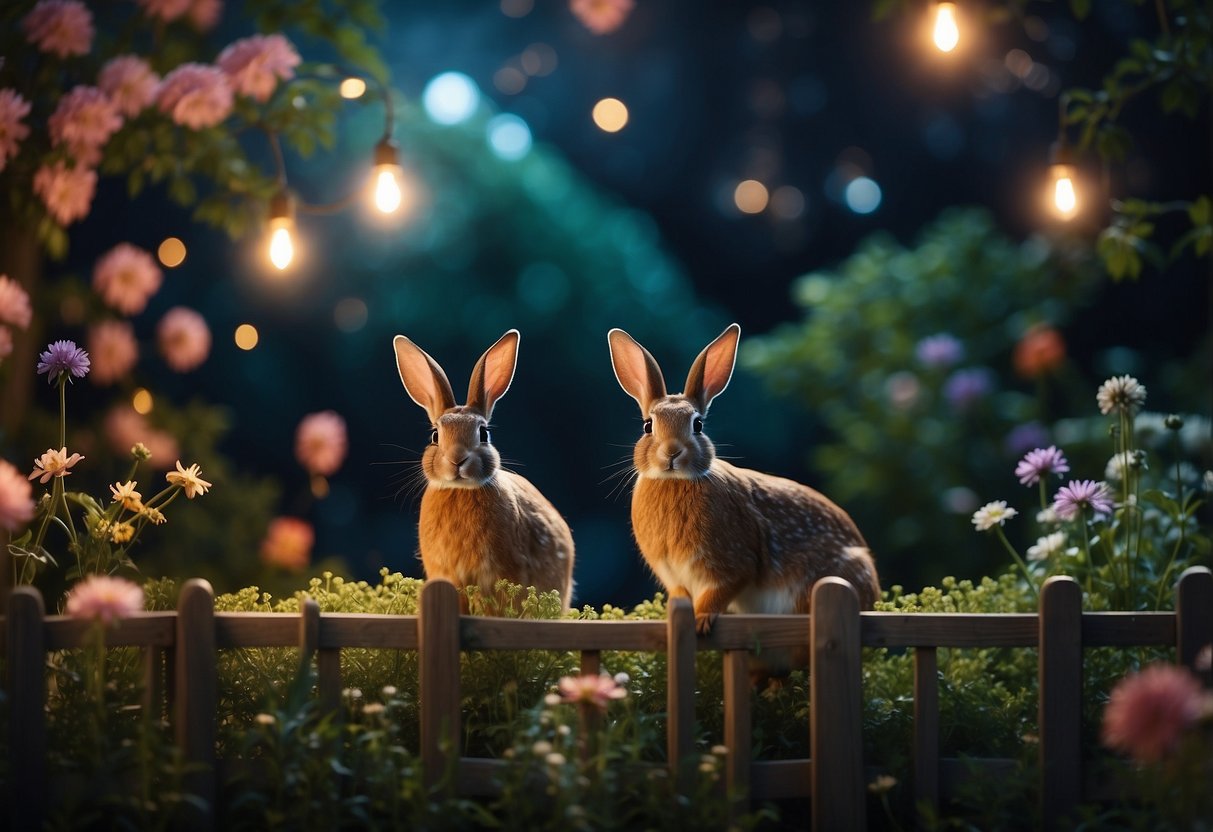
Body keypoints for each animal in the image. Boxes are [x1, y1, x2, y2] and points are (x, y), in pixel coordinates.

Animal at [606, 322, 883, 640]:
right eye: (648, 426)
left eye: (698, 425)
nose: (672, 452)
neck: (674, 480)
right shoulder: (674, 577)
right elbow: (681, 597)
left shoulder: (732, 564)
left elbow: (718, 593)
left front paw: (701, 621)